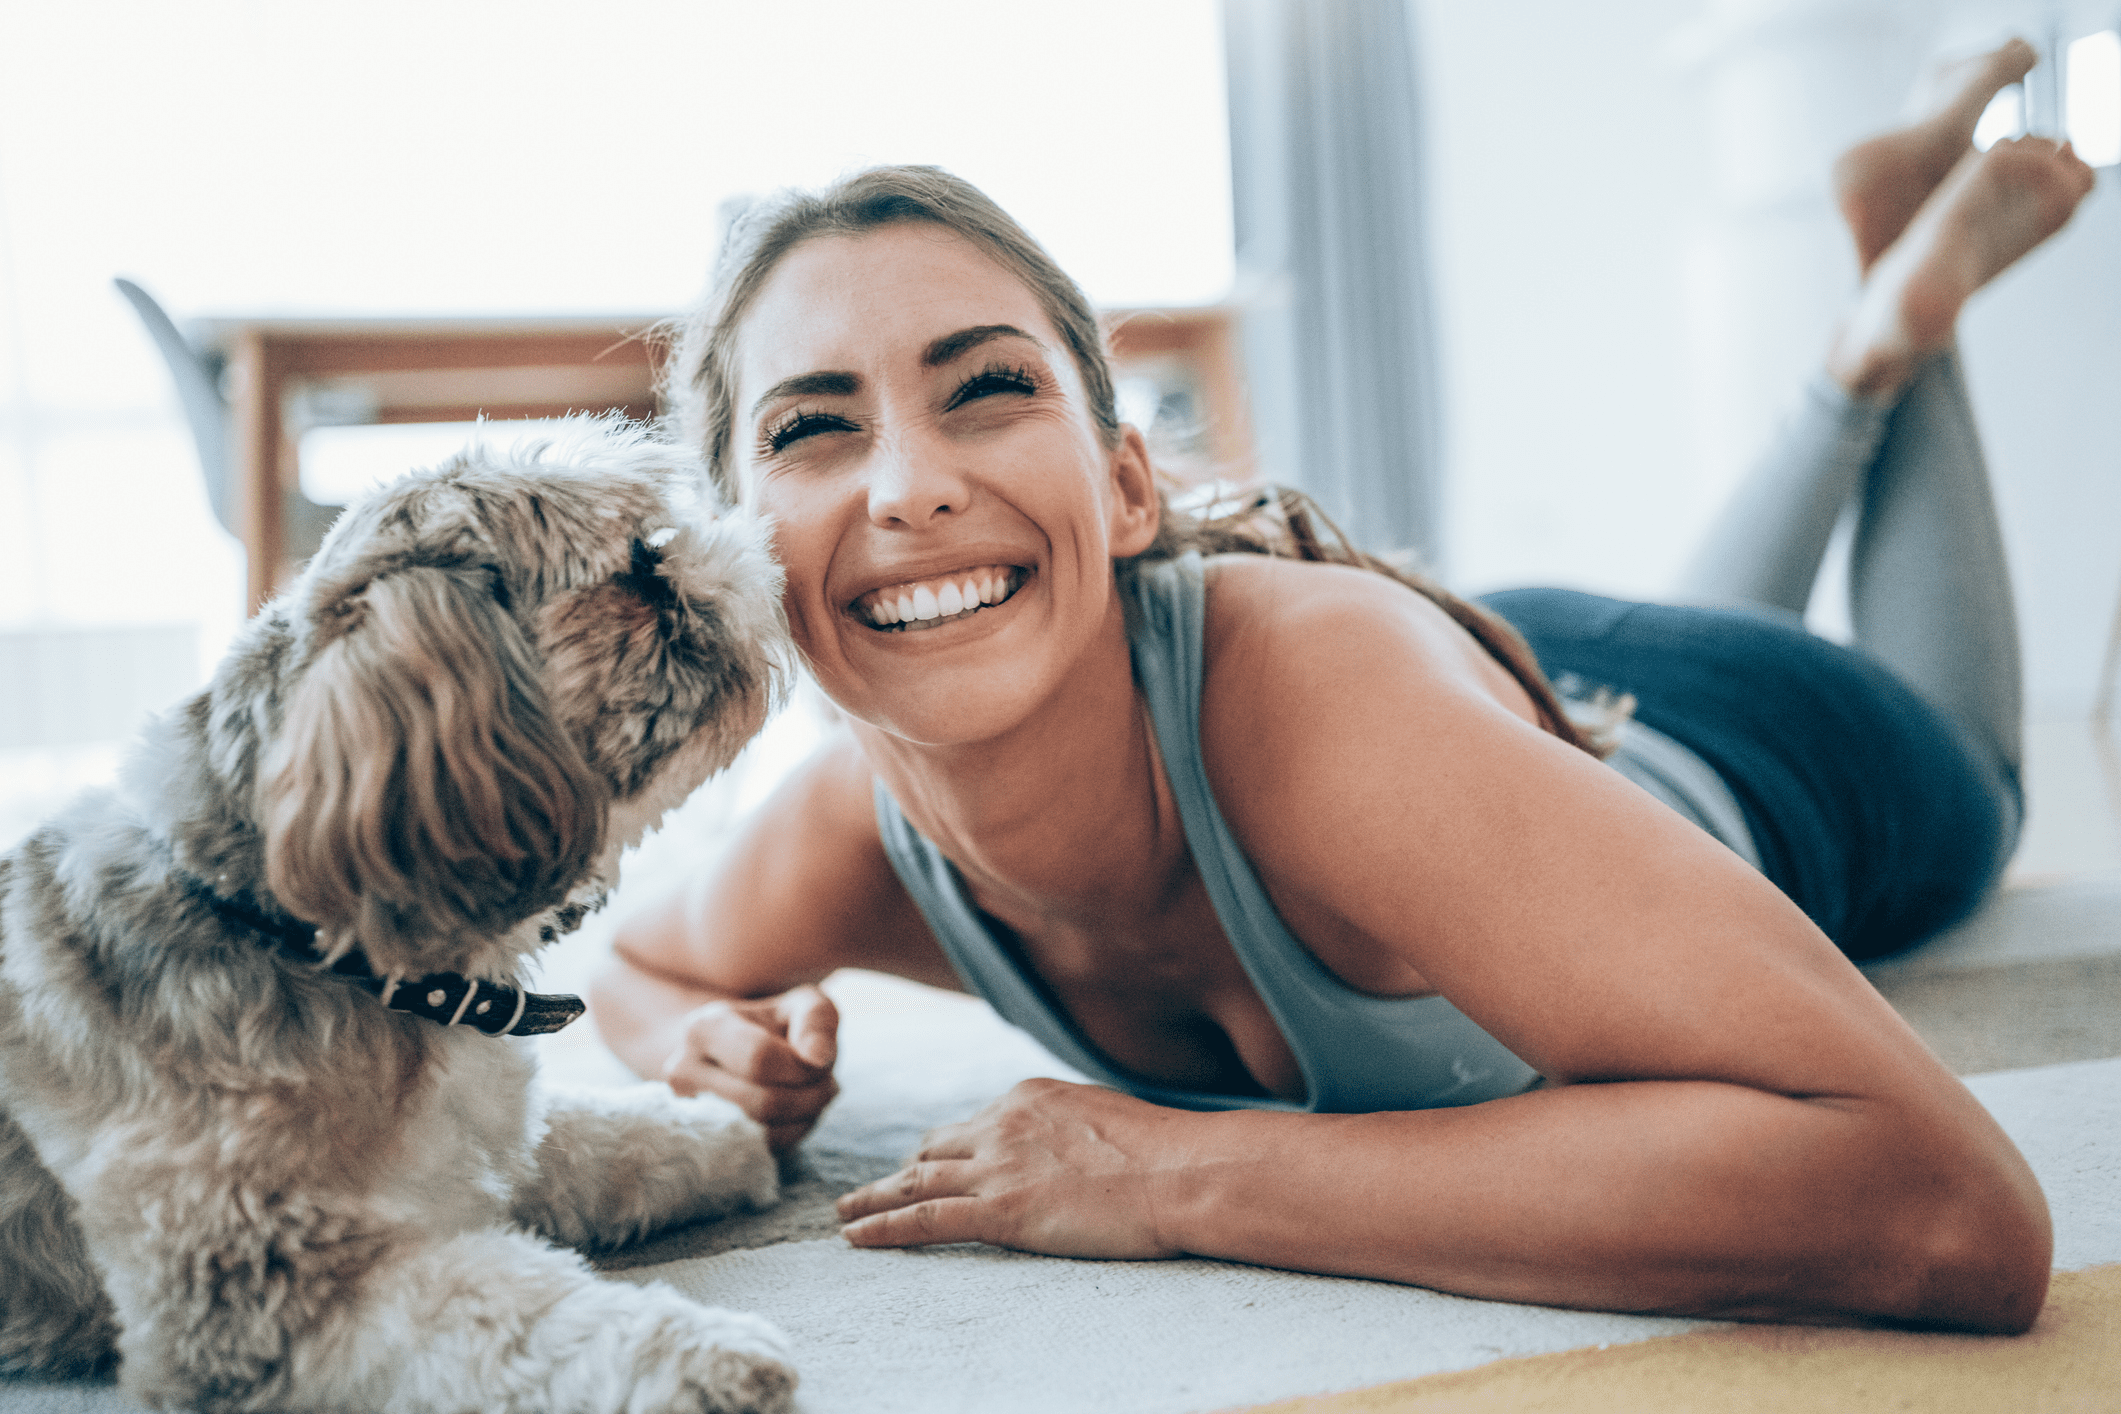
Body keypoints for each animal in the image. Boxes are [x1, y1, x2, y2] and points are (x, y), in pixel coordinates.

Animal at [0, 420, 799, 1412]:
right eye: (638, 566)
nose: (744, 553)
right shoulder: (264, 1297)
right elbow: (512, 1314)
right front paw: (701, 1355)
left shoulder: (491, 1143)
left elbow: (596, 1134)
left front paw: (720, 1135)